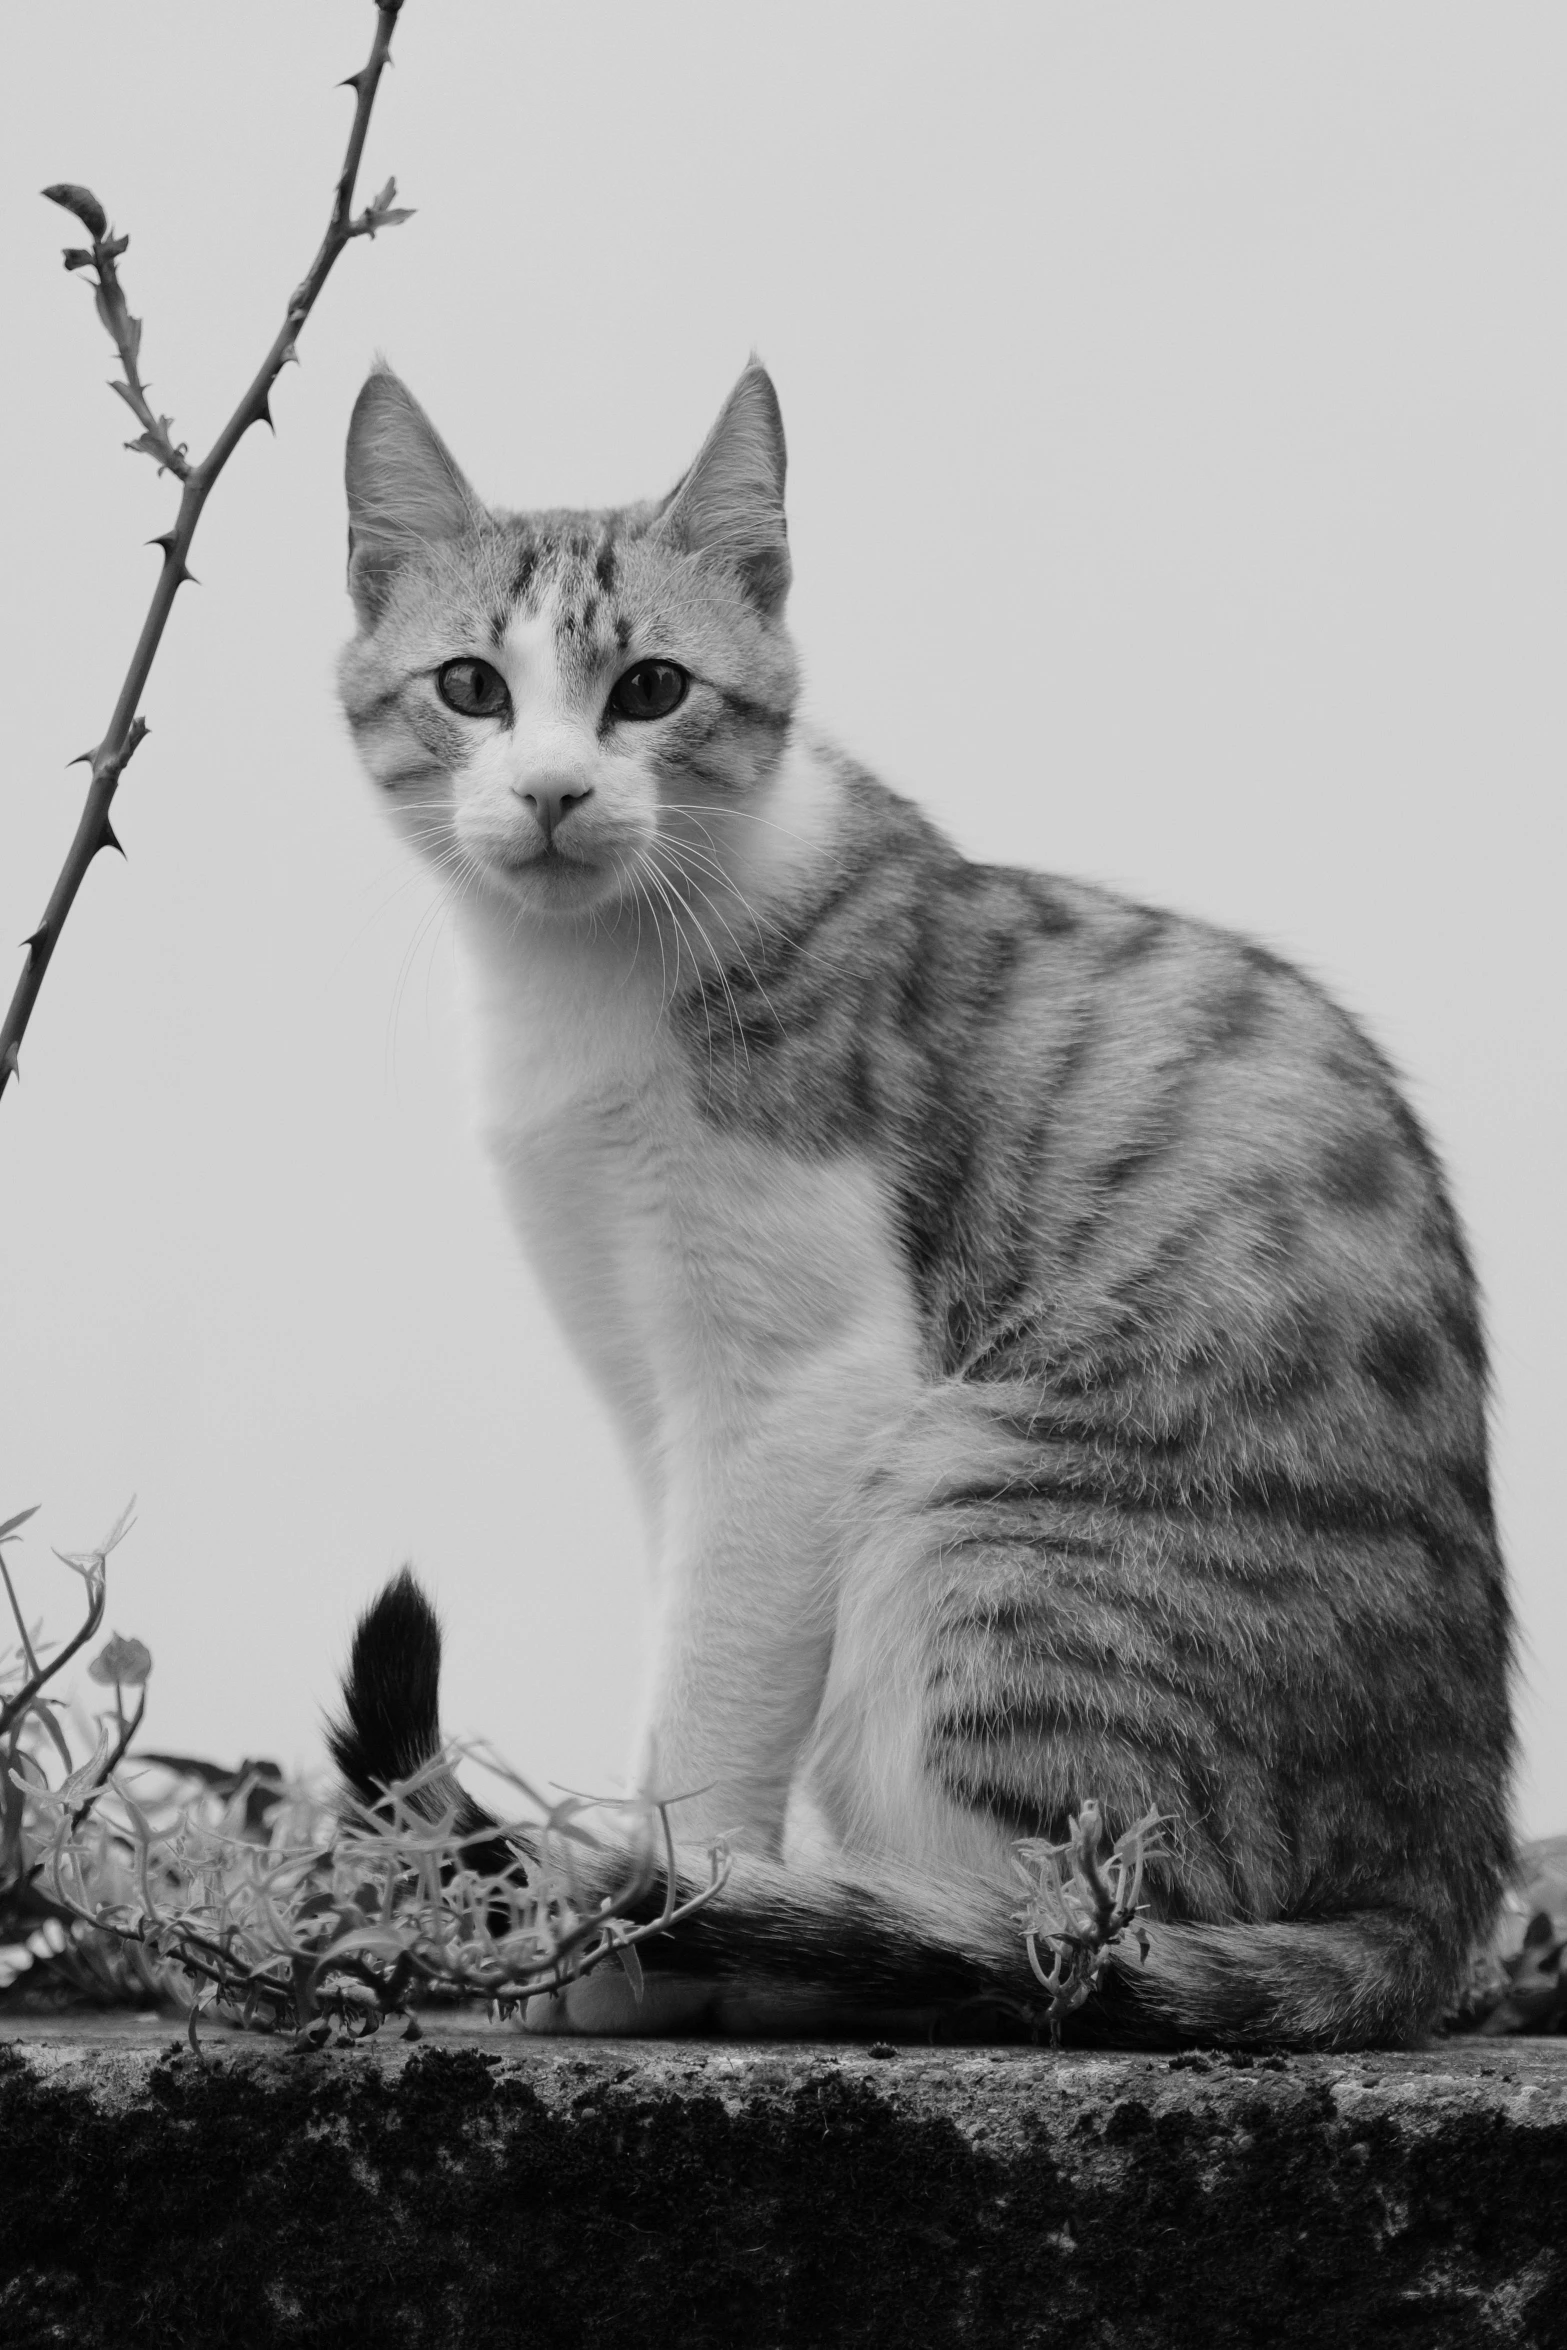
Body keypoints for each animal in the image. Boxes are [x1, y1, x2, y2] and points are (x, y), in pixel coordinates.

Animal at [333, 357, 1522, 2049]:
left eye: (651, 690)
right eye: (470, 688)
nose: (555, 790)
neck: (583, 980)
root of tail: (1438, 1878)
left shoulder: (802, 1386)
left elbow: (712, 1690)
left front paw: (650, 1924)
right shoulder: (650, 1384)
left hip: (970, 1509)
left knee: (1063, 1937)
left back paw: (781, 1941)